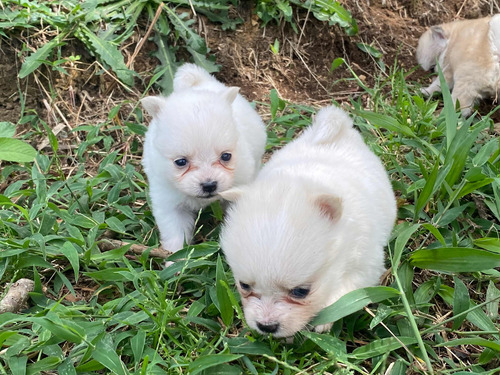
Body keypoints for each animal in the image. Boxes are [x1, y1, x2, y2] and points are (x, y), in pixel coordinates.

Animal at [141, 64, 268, 253]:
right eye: (181, 162)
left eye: (226, 156)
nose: (209, 185)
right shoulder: (168, 200)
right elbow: (175, 232)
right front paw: (174, 257)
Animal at [221, 106, 396, 338]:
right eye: (244, 285)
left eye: (301, 291)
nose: (266, 326)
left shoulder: (366, 264)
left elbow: (346, 290)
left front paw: (326, 319)